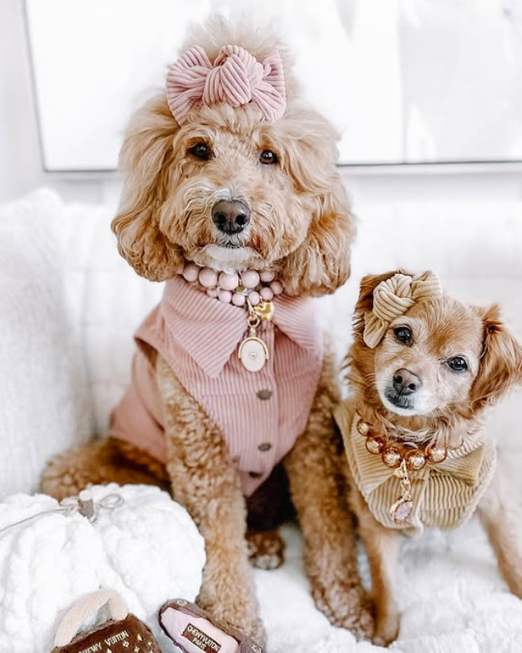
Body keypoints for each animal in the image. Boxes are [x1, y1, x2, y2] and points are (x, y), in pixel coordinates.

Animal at [41, 19, 374, 640]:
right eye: (199, 150)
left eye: (269, 155)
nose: (230, 213)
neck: (245, 309)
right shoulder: (201, 459)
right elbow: (217, 547)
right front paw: (233, 623)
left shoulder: (314, 445)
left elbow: (328, 527)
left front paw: (349, 606)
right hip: (95, 468)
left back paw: (265, 542)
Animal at [334, 268, 520, 640]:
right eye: (402, 333)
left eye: (458, 364)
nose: (404, 379)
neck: (414, 452)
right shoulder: (375, 522)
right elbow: (386, 583)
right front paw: (385, 635)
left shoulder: (495, 502)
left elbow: (509, 552)